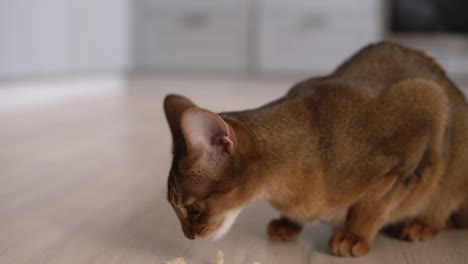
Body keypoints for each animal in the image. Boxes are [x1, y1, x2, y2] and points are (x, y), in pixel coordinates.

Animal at [162, 41, 468, 258]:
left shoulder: (426, 102)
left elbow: (373, 205)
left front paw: (355, 235)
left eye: (192, 208)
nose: (188, 237)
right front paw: (288, 222)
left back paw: (421, 224)